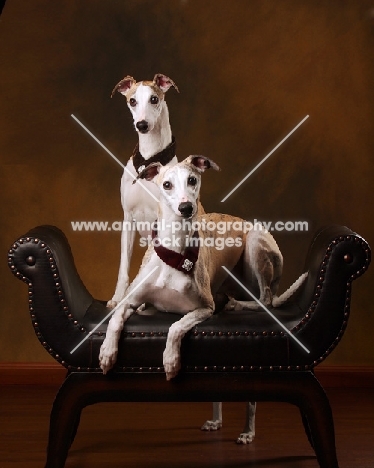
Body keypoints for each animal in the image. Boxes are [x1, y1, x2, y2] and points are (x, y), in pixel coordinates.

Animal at [99, 156, 306, 442]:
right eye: (166, 184)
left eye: (192, 180)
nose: (186, 208)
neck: (175, 251)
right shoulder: (133, 300)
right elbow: (117, 317)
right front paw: (107, 353)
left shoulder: (204, 308)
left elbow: (176, 326)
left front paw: (170, 360)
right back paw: (216, 421)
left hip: (255, 244)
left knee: (264, 299)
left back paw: (248, 431)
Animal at [106, 73, 180, 308]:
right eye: (132, 101)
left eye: (154, 99)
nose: (142, 124)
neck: (148, 160)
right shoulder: (128, 218)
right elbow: (124, 266)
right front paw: (118, 298)